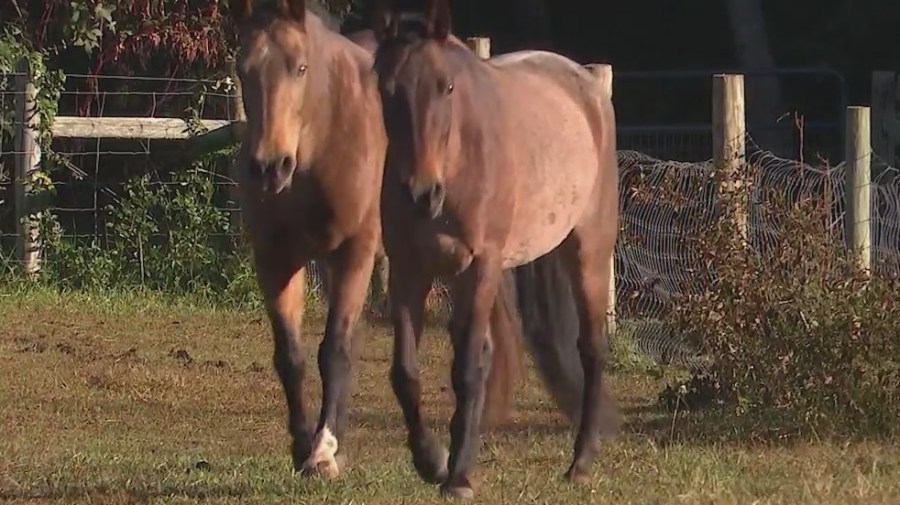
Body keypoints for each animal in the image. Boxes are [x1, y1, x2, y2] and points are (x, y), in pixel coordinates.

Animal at [229, 0, 544, 480]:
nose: (269, 167)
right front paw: (305, 445)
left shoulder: (355, 252)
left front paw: (322, 453)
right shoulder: (275, 260)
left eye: (300, 67)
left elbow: (334, 351)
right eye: (242, 69)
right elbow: (291, 357)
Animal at [370, 0, 620, 496]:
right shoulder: (409, 271)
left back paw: (581, 461)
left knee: (592, 349)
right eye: (386, 89)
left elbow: (467, 369)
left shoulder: (481, 266)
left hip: (587, 252)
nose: (422, 193)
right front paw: (432, 461)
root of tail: (587, 87)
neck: (458, 161)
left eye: (446, 86)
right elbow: (405, 372)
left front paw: (458, 477)